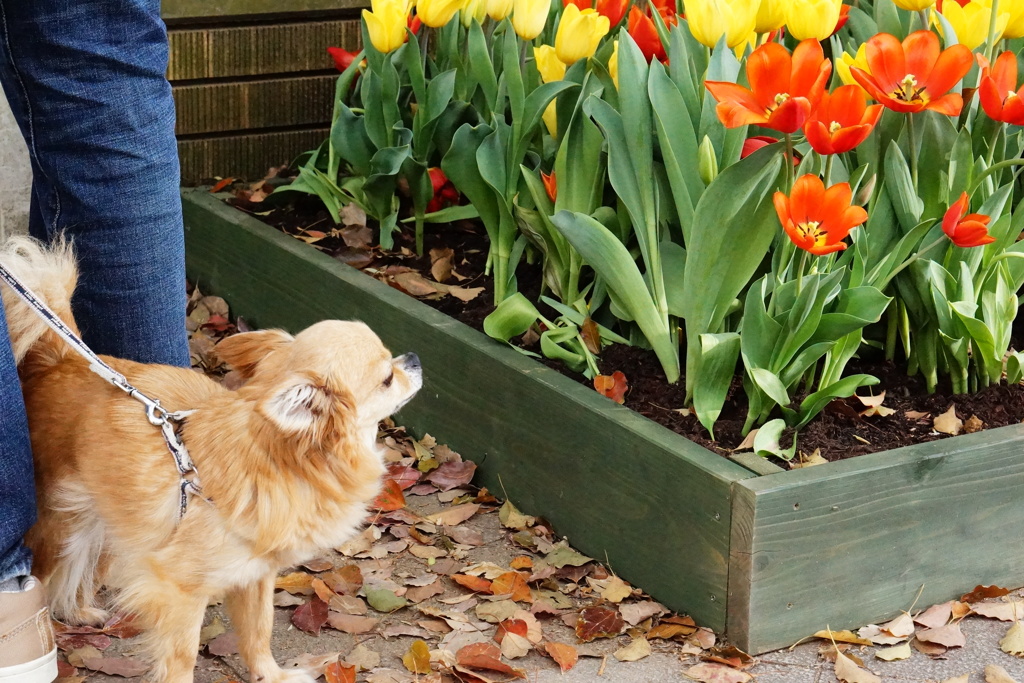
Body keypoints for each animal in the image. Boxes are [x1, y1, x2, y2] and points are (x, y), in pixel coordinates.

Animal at [1, 237, 423, 679]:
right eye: (387, 379)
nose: (413, 358)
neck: (280, 463)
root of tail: (62, 360)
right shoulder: (180, 589)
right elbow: (183, 656)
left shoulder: (256, 575)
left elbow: (258, 632)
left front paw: (271, 675)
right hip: (56, 524)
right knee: (45, 572)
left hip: (98, 517)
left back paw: (78, 610)